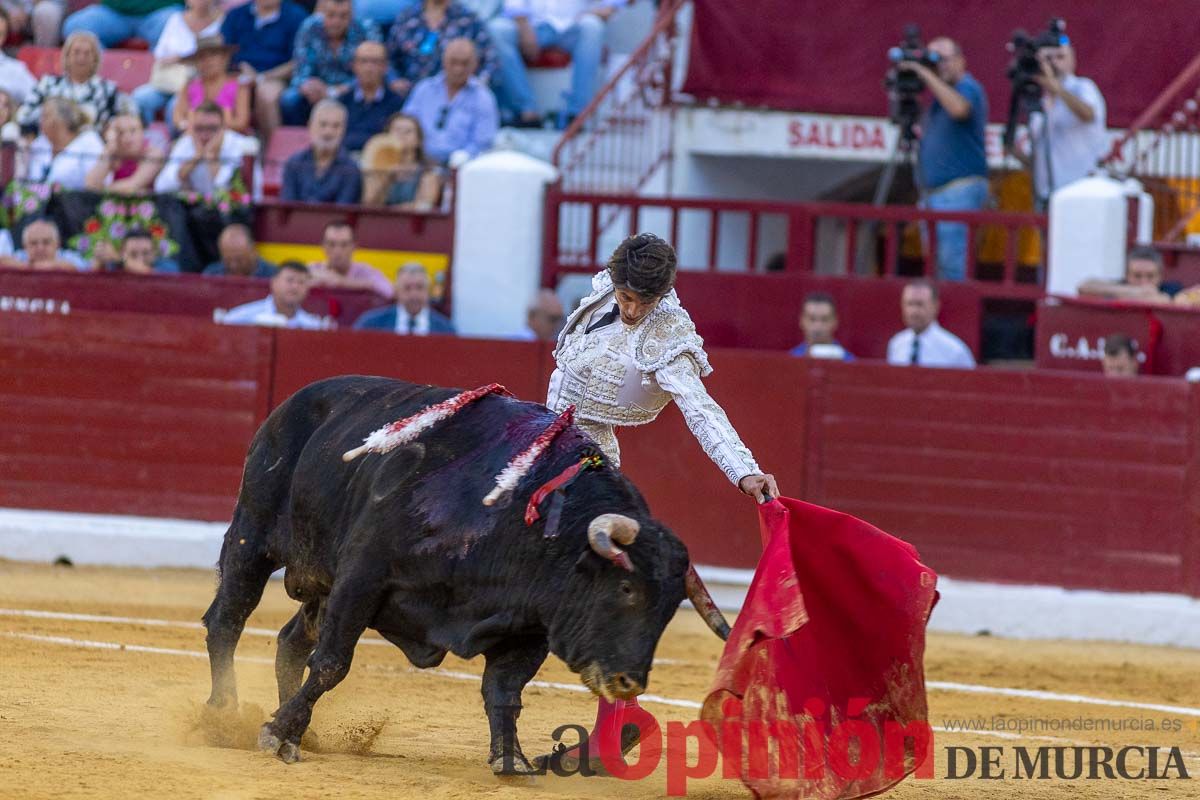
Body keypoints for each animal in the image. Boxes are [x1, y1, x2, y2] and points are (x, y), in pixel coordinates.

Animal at [204, 379, 729, 772]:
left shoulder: (529, 624)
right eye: (625, 588)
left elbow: (505, 690)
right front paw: (275, 733)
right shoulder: (362, 576)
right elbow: (333, 663)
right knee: (227, 619)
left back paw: (300, 729)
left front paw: (513, 761)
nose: (629, 681)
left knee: (291, 639)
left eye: (670, 608)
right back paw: (223, 715)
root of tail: (294, 402)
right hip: (253, 533)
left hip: (319, 582)